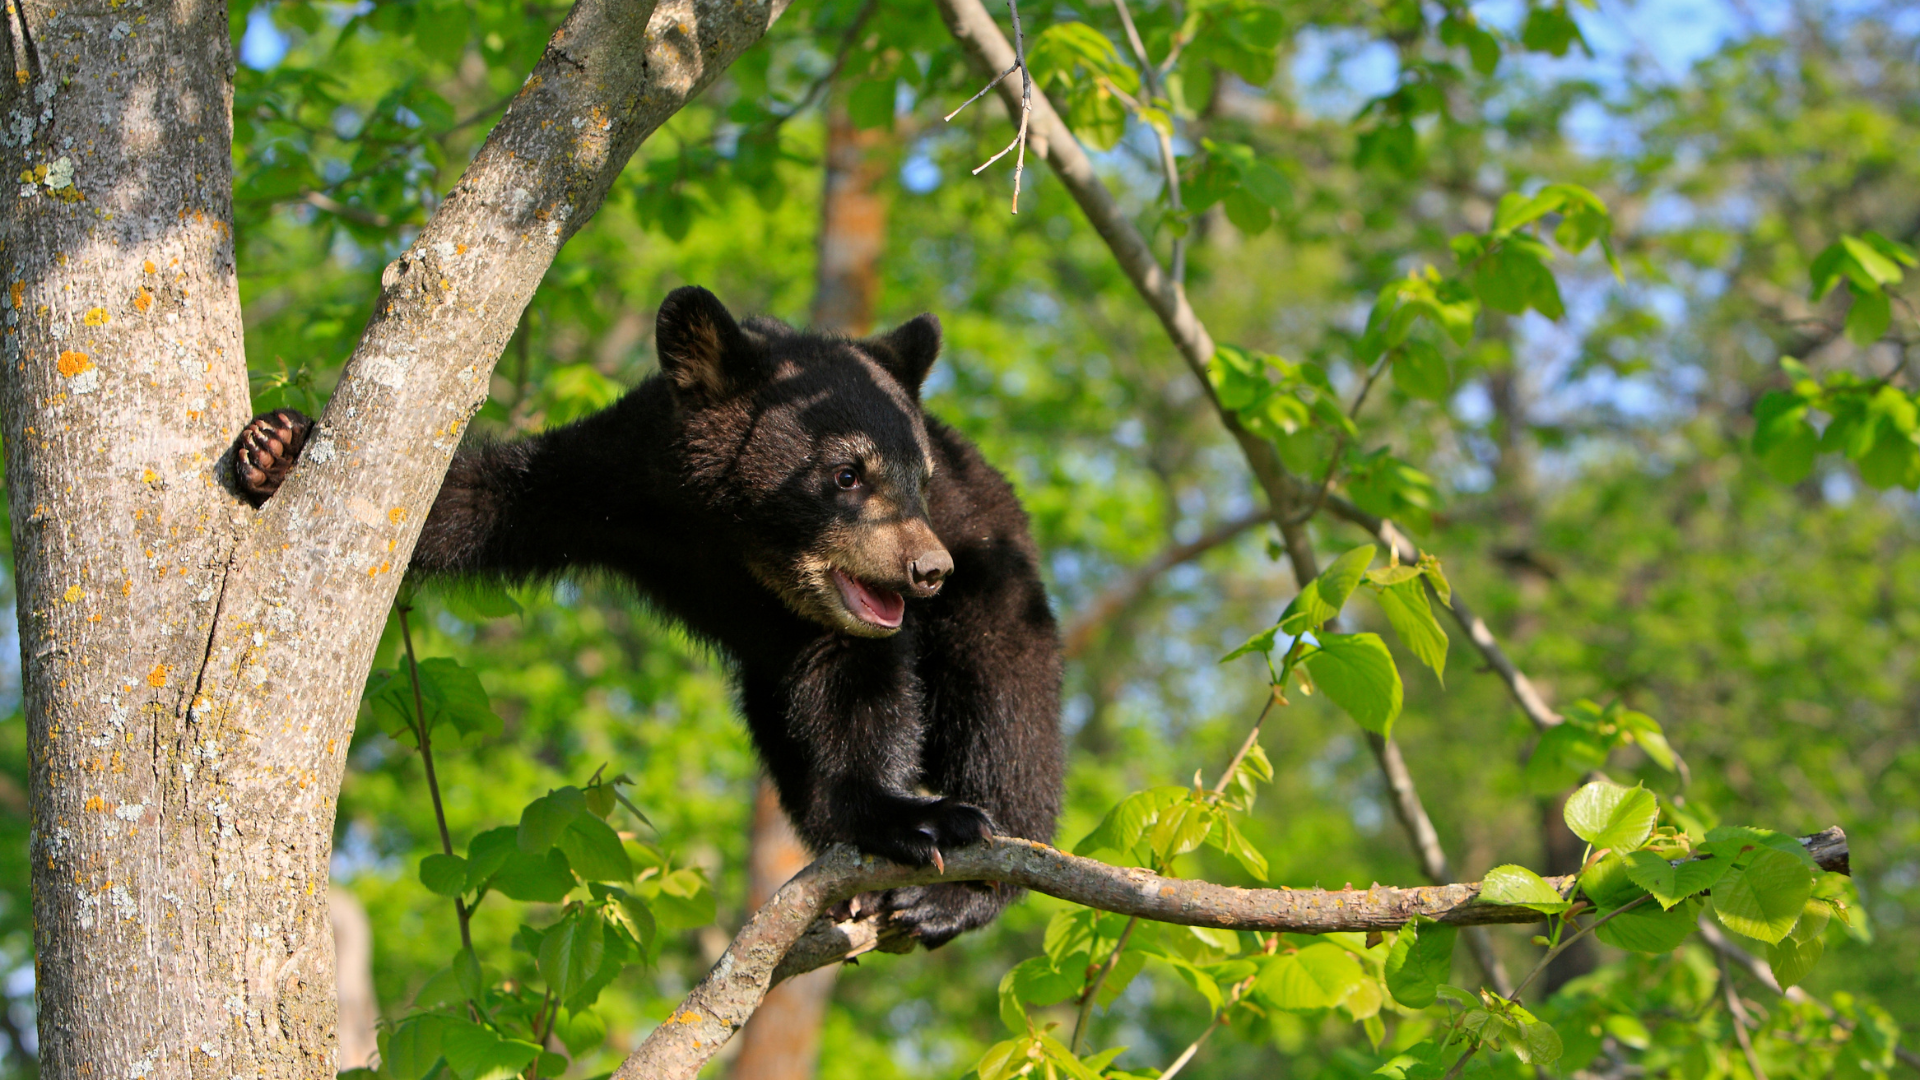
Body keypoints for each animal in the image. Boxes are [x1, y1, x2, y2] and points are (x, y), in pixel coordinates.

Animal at [233, 285, 1064, 946]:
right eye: (846, 473)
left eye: (918, 477)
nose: (928, 569)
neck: (733, 538)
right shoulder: (620, 479)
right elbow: (477, 502)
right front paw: (275, 445)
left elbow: (855, 689)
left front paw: (913, 820)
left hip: (1001, 587)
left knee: (1007, 712)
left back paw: (961, 887)